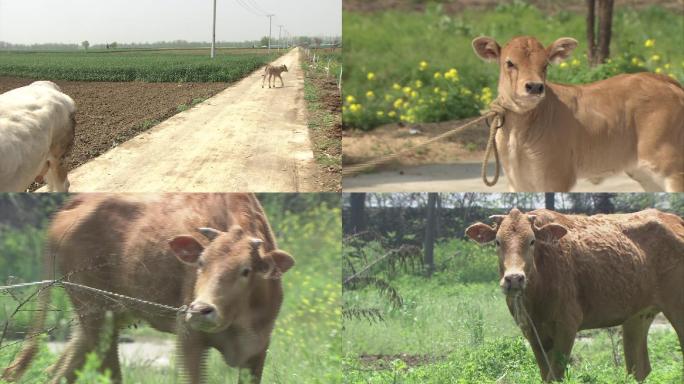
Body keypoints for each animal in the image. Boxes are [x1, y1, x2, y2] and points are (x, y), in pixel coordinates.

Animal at [2, 194, 296, 382]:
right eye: (200, 263)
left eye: (246, 270)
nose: (201, 309)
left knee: (59, 371)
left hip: (100, 320)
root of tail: (76, 203)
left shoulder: (257, 349)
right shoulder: (188, 338)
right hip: (98, 317)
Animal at [464, 208, 684, 382]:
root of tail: (675, 220)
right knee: (638, 369)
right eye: (498, 242)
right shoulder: (531, 331)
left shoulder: (567, 325)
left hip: (677, 309)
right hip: (637, 317)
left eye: (532, 241)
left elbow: (555, 376)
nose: (514, 278)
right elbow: (545, 375)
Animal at [470, 36, 684, 192]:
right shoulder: (517, 181)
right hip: (645, 174)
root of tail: (664, 80)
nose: (535, 87)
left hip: (672, 168)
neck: (518, 134)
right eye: (509, 63)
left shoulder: (556, 176)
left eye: (545, 64)